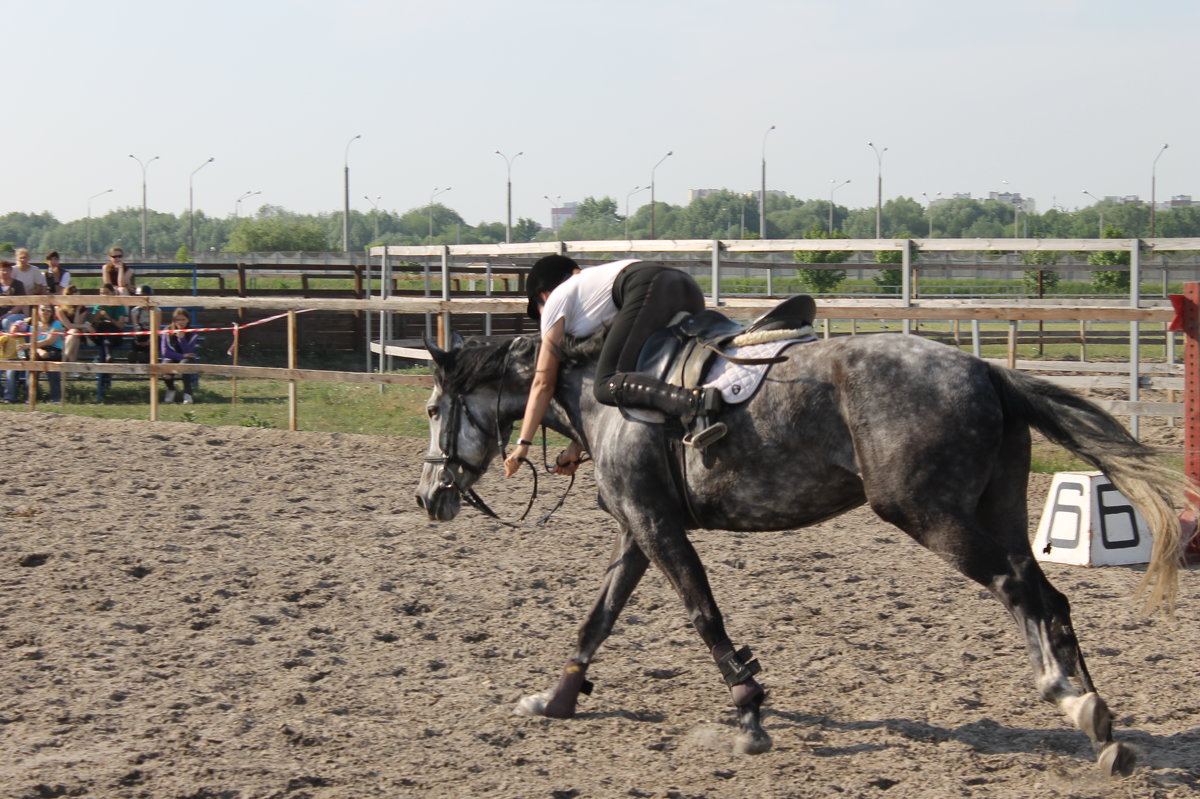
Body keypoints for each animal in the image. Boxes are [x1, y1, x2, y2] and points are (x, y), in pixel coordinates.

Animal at [417, 328, 1185, 772]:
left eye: (432, 410)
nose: (428, 497)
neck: (603, 396)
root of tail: (985, 370)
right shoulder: (639, 530)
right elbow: (596, 618)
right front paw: (557, 698)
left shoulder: (658, 528)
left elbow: (703, 616)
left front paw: (750, 714)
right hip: (991, 508)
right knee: (1043, 592)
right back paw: (1093, 714)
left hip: (929, 515)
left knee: (1017, 588)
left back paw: (1071, 699)